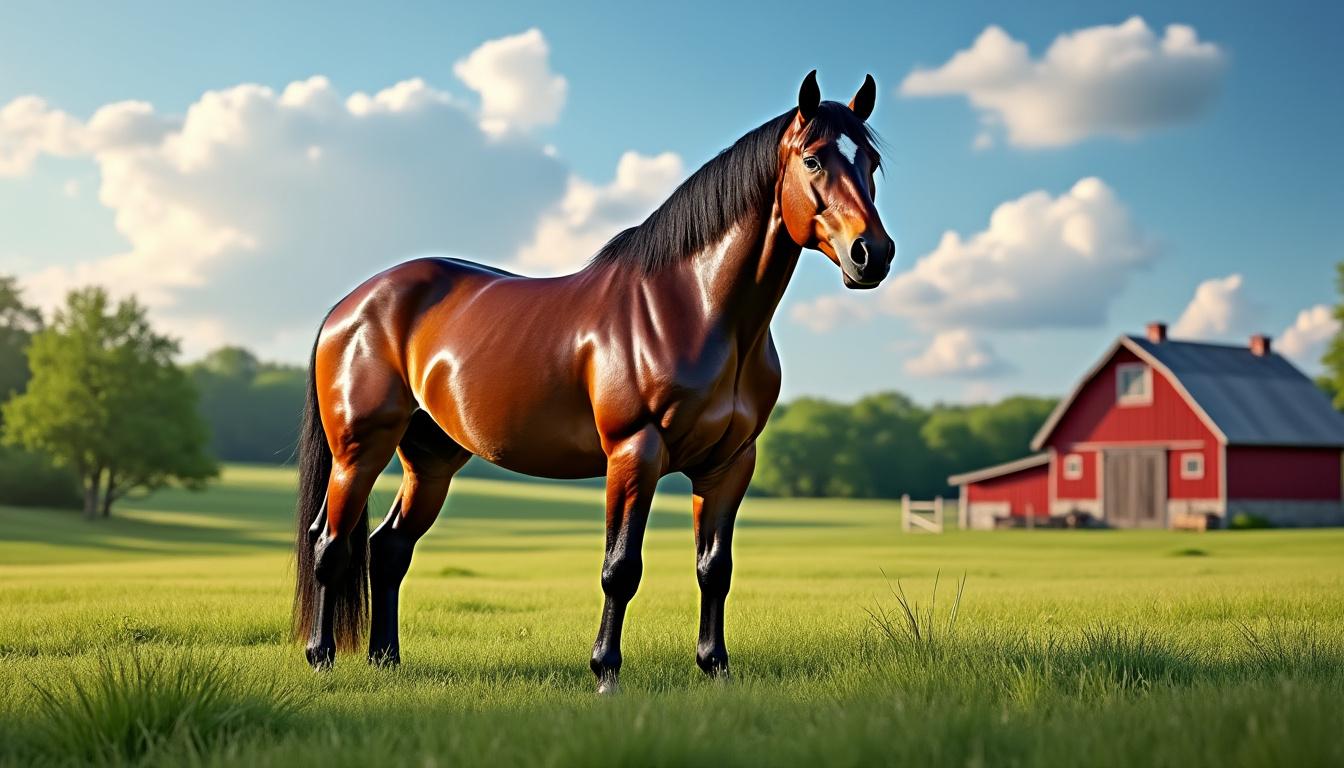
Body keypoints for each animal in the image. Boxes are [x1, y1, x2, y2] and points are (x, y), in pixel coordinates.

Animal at [292, 71, 894, 693]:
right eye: (813, 159)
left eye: (872, 162)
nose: (872, 255)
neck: (696, 308)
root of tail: (351, 306)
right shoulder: (635, 451)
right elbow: (620, 567)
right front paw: (606, 672)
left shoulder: (730, 463)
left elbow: (714, 569)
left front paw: (716, 667)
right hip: (359, 450)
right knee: (331, 544)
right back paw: (321, 657)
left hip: (431, 458)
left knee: (388, 547)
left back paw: (386, 659)